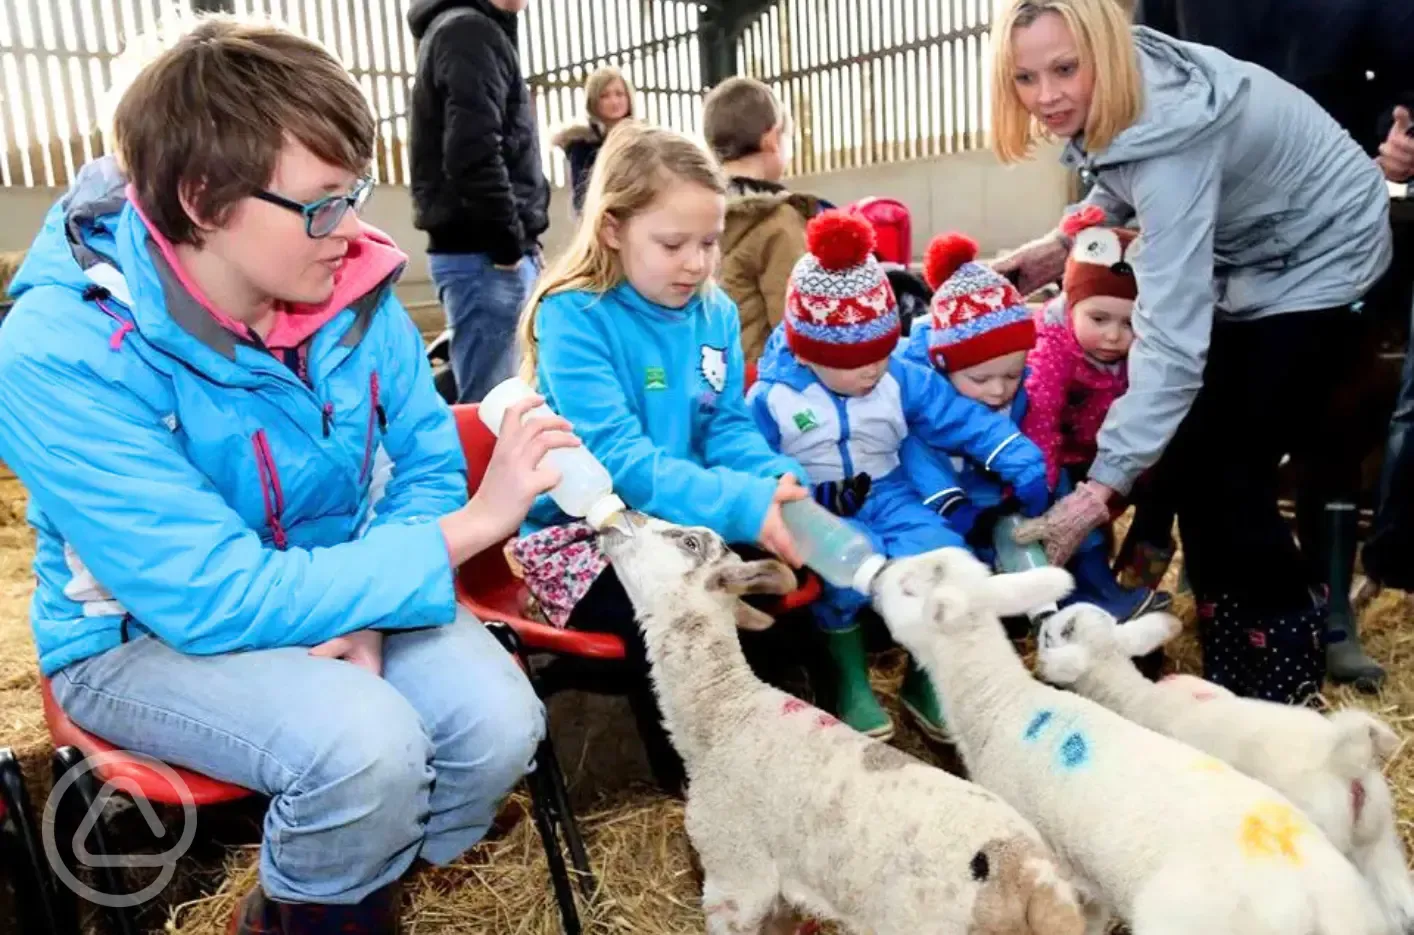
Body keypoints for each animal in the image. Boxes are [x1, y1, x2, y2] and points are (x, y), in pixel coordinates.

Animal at [599, 514, 1080, 933]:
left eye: (689, 542)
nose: (620, 518)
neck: (724, 714)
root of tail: (1028, 876)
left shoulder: (734, 875)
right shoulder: (779, 896)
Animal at [1040, 602, 1414, 927]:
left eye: (1059, 632)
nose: (1041, 620)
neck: (1133, 696)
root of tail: (1344, 760)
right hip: (1378, 837)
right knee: (1398, 903)